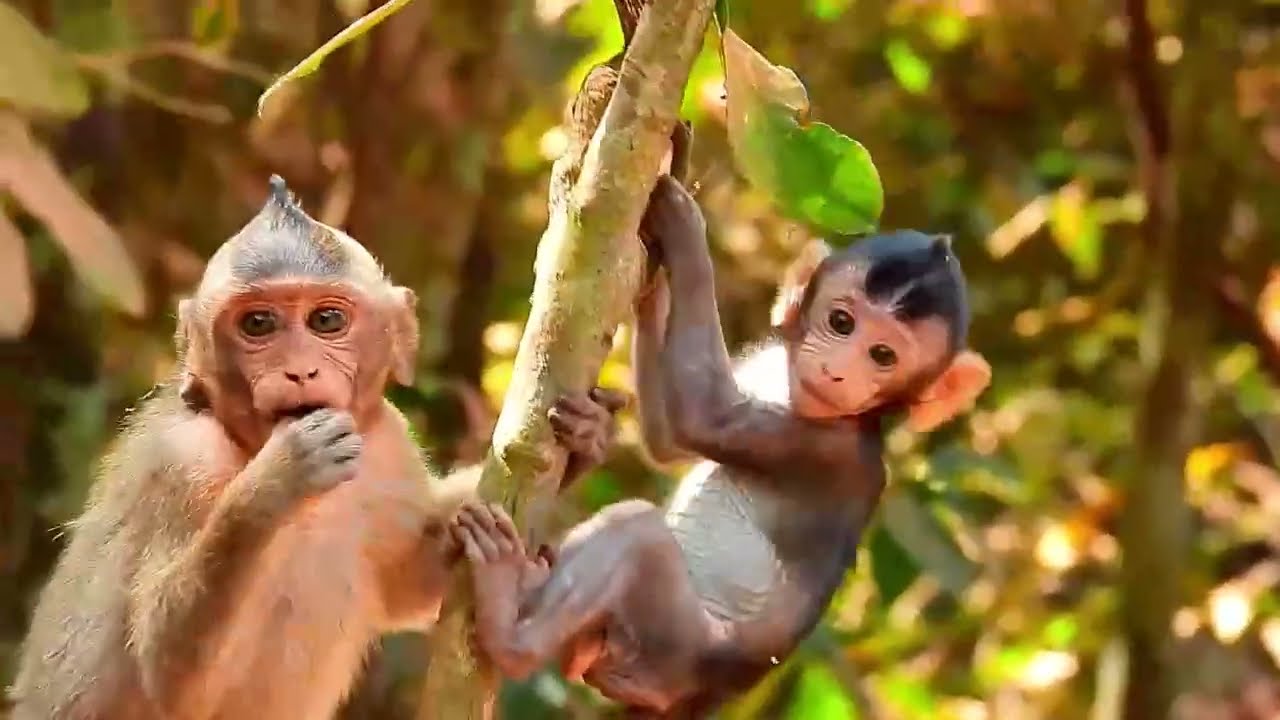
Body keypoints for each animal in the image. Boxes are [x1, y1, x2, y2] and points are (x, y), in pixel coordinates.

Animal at [7, 175, 623, 720]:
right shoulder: (182, 461)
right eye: (258, 324)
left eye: (327, 319)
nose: (299, 369)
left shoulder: (388, 444)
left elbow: (410, 583)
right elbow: (166, 670)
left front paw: (586, 442)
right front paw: (277, 478)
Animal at [445, 175, 992, 717]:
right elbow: (669, 442)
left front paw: (685, 227)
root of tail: (692, 697)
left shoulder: (823, 448)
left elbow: (702, 416)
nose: (839, 371)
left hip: (669, 642)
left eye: (883, 355)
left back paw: (508, 624)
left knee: (639, 534)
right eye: (842, 323)